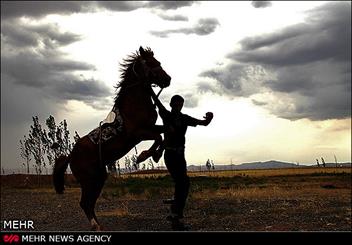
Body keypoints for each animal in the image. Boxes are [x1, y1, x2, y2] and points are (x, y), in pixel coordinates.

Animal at [52, 47, 172, 231]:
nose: (168, 79)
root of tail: (71, 156)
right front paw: (143, 156)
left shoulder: (151, 127)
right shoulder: (139, 133)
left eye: (158, 62)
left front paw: (156, 155)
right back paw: (96, 226)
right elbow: (158, 137)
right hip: (88, 180)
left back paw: (99, 225)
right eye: (151, 63)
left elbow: (165, 133)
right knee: (85, 203)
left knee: (90, 203)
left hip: (99, 178)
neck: (134, 104)